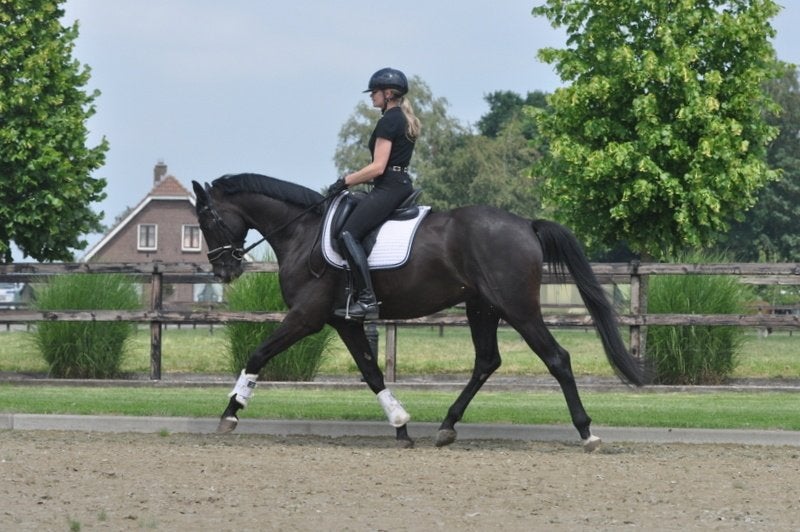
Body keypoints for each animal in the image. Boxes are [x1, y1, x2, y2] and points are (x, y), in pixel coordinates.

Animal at [192, 173, 643, 451]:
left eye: (206, 219)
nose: (223, 270)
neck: (302, 232)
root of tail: (525, 225)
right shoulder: (343, 321)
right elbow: (372, 372)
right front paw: (401, 426)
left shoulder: (307, 317)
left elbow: (258, 354)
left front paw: (230, 412)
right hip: (482, 308)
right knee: (486, 361)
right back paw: (446, 427)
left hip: (518, 308)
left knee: (556, 358)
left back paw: (586, 432)